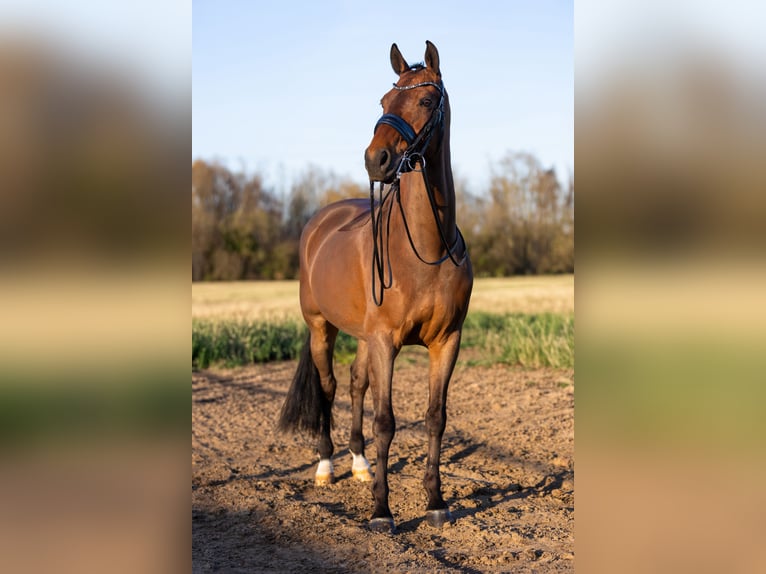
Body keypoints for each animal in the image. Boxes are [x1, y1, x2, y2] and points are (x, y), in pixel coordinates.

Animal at [278, 40, 473, 533]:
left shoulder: (447, 341)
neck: (425, 248)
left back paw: (361, 465)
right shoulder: (387, 342)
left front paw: (436, 502)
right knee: (328, 388)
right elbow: (385, 422)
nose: (375, 160)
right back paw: (326, 467)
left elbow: (435, 418)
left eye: (426, 99)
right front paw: (382, 512)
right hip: (321, 328)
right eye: (384, 101)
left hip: (364, 338)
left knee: (354, 385)